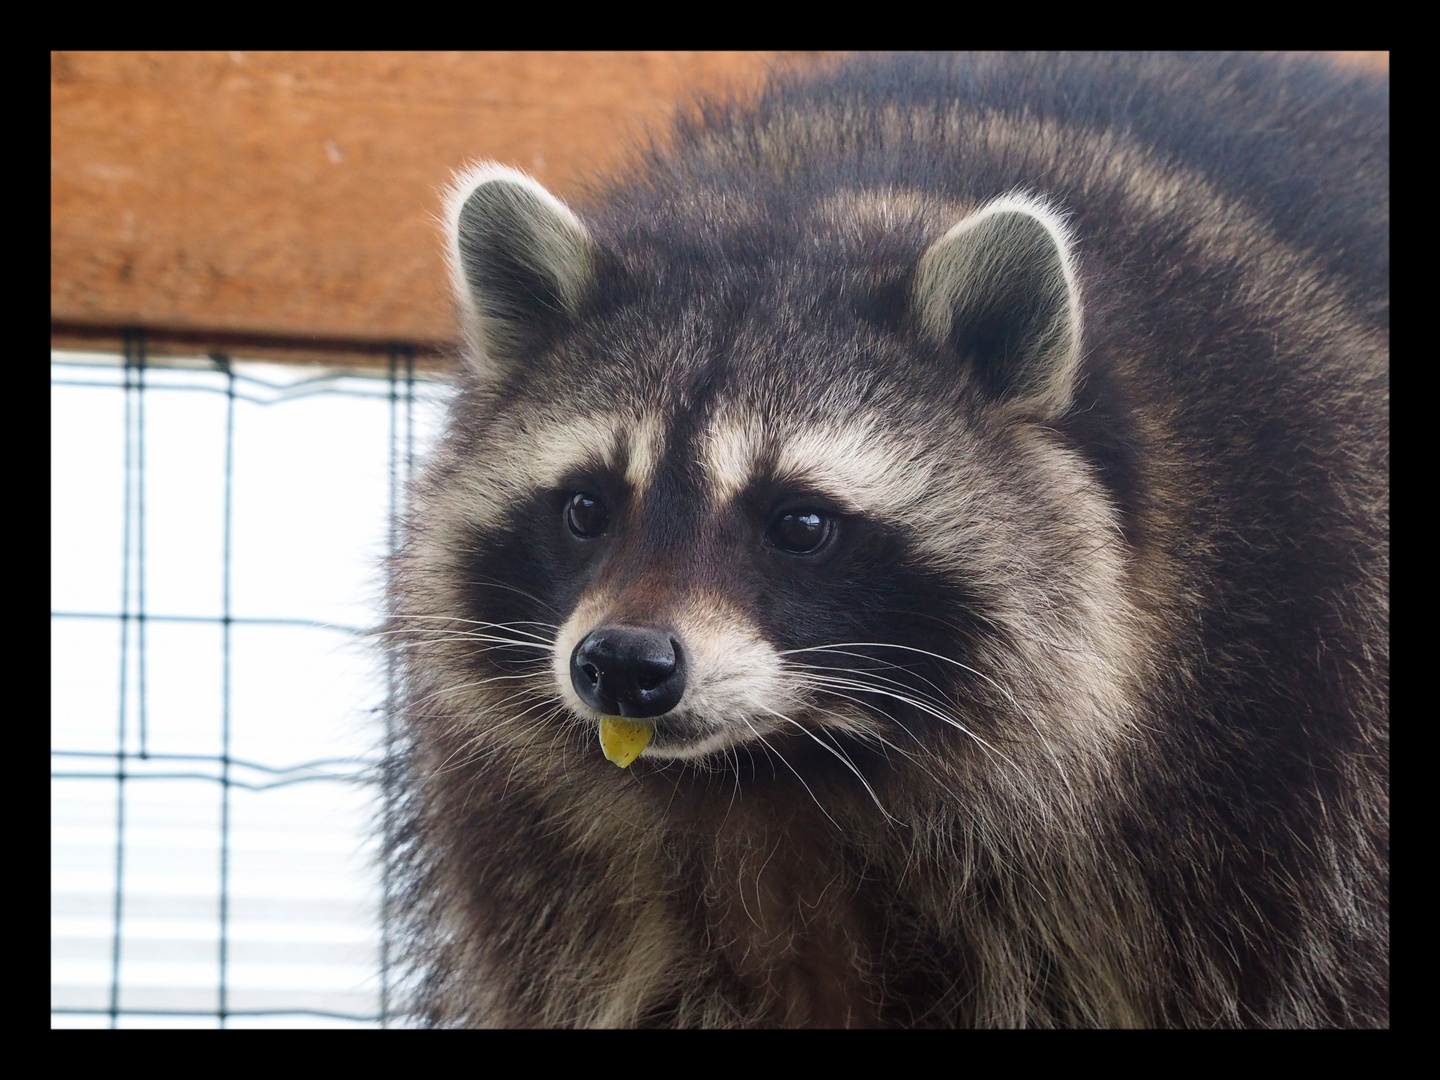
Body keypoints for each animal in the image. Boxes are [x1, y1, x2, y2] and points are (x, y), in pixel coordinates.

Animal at [388, 50, 1388, 1031]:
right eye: (587, 510)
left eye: (800, 524)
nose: (625, 663)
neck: (785, 771)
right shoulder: (549, 875)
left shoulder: (1283, 752)